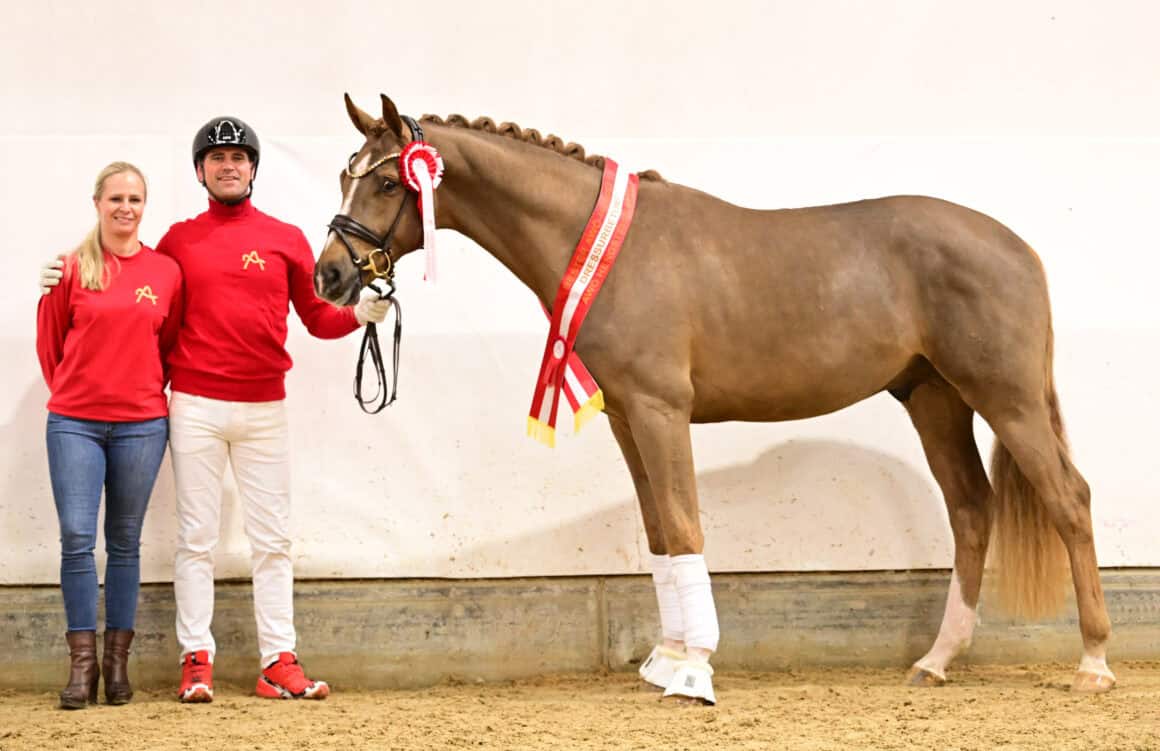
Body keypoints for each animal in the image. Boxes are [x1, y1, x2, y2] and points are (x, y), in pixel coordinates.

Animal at [315, 92, 1113, 701]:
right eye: (345, 177)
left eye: (388, 184)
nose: (330, 276)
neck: (607, 248)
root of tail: (1016, 247)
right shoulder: (628, 421)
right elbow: (660, 535)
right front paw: (667, 658)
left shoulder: (662, 412)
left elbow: (685, 526)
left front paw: (694, 670)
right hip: (934, 399)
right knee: (971, 509)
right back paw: (936, 661)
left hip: (1006, 399)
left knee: (1069, 500)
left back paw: (1094, 663)